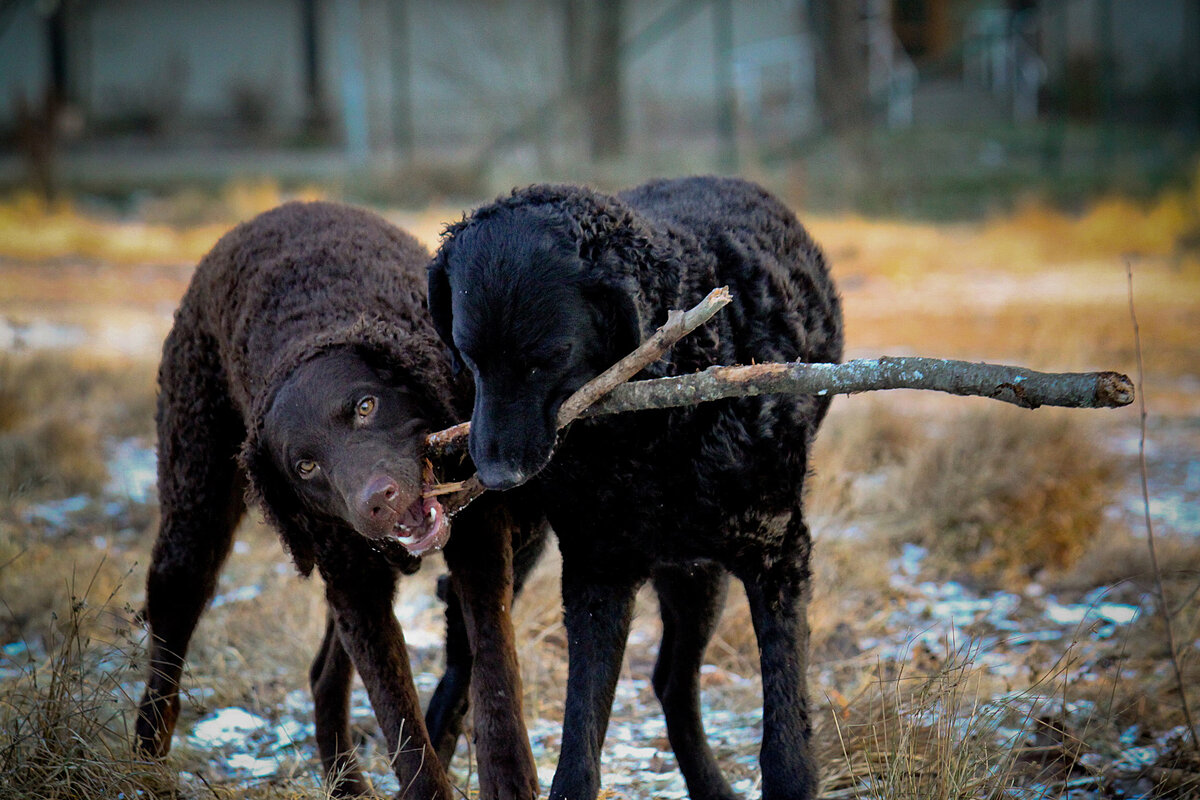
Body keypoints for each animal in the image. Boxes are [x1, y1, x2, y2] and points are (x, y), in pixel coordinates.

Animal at [136, 201, 544, 800]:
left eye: (366, 406)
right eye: (305, 466)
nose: (378, 502)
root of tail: (277, 209)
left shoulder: (480, 543)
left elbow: (493, 675)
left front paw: (511, 781)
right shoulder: (356, 586)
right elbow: (401, 722)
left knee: (323, 672)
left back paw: (345, 783)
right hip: (197, 502)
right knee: (170, 631)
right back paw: (146, 762)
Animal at [432, 178, 844, 796]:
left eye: (547, 358)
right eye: (468, 353)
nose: (498, 477)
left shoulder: (779, 554)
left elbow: (786, 737)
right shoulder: (598, 571)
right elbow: (579, 747)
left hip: (697, 571)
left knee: (672, 682)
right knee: (466, 657)